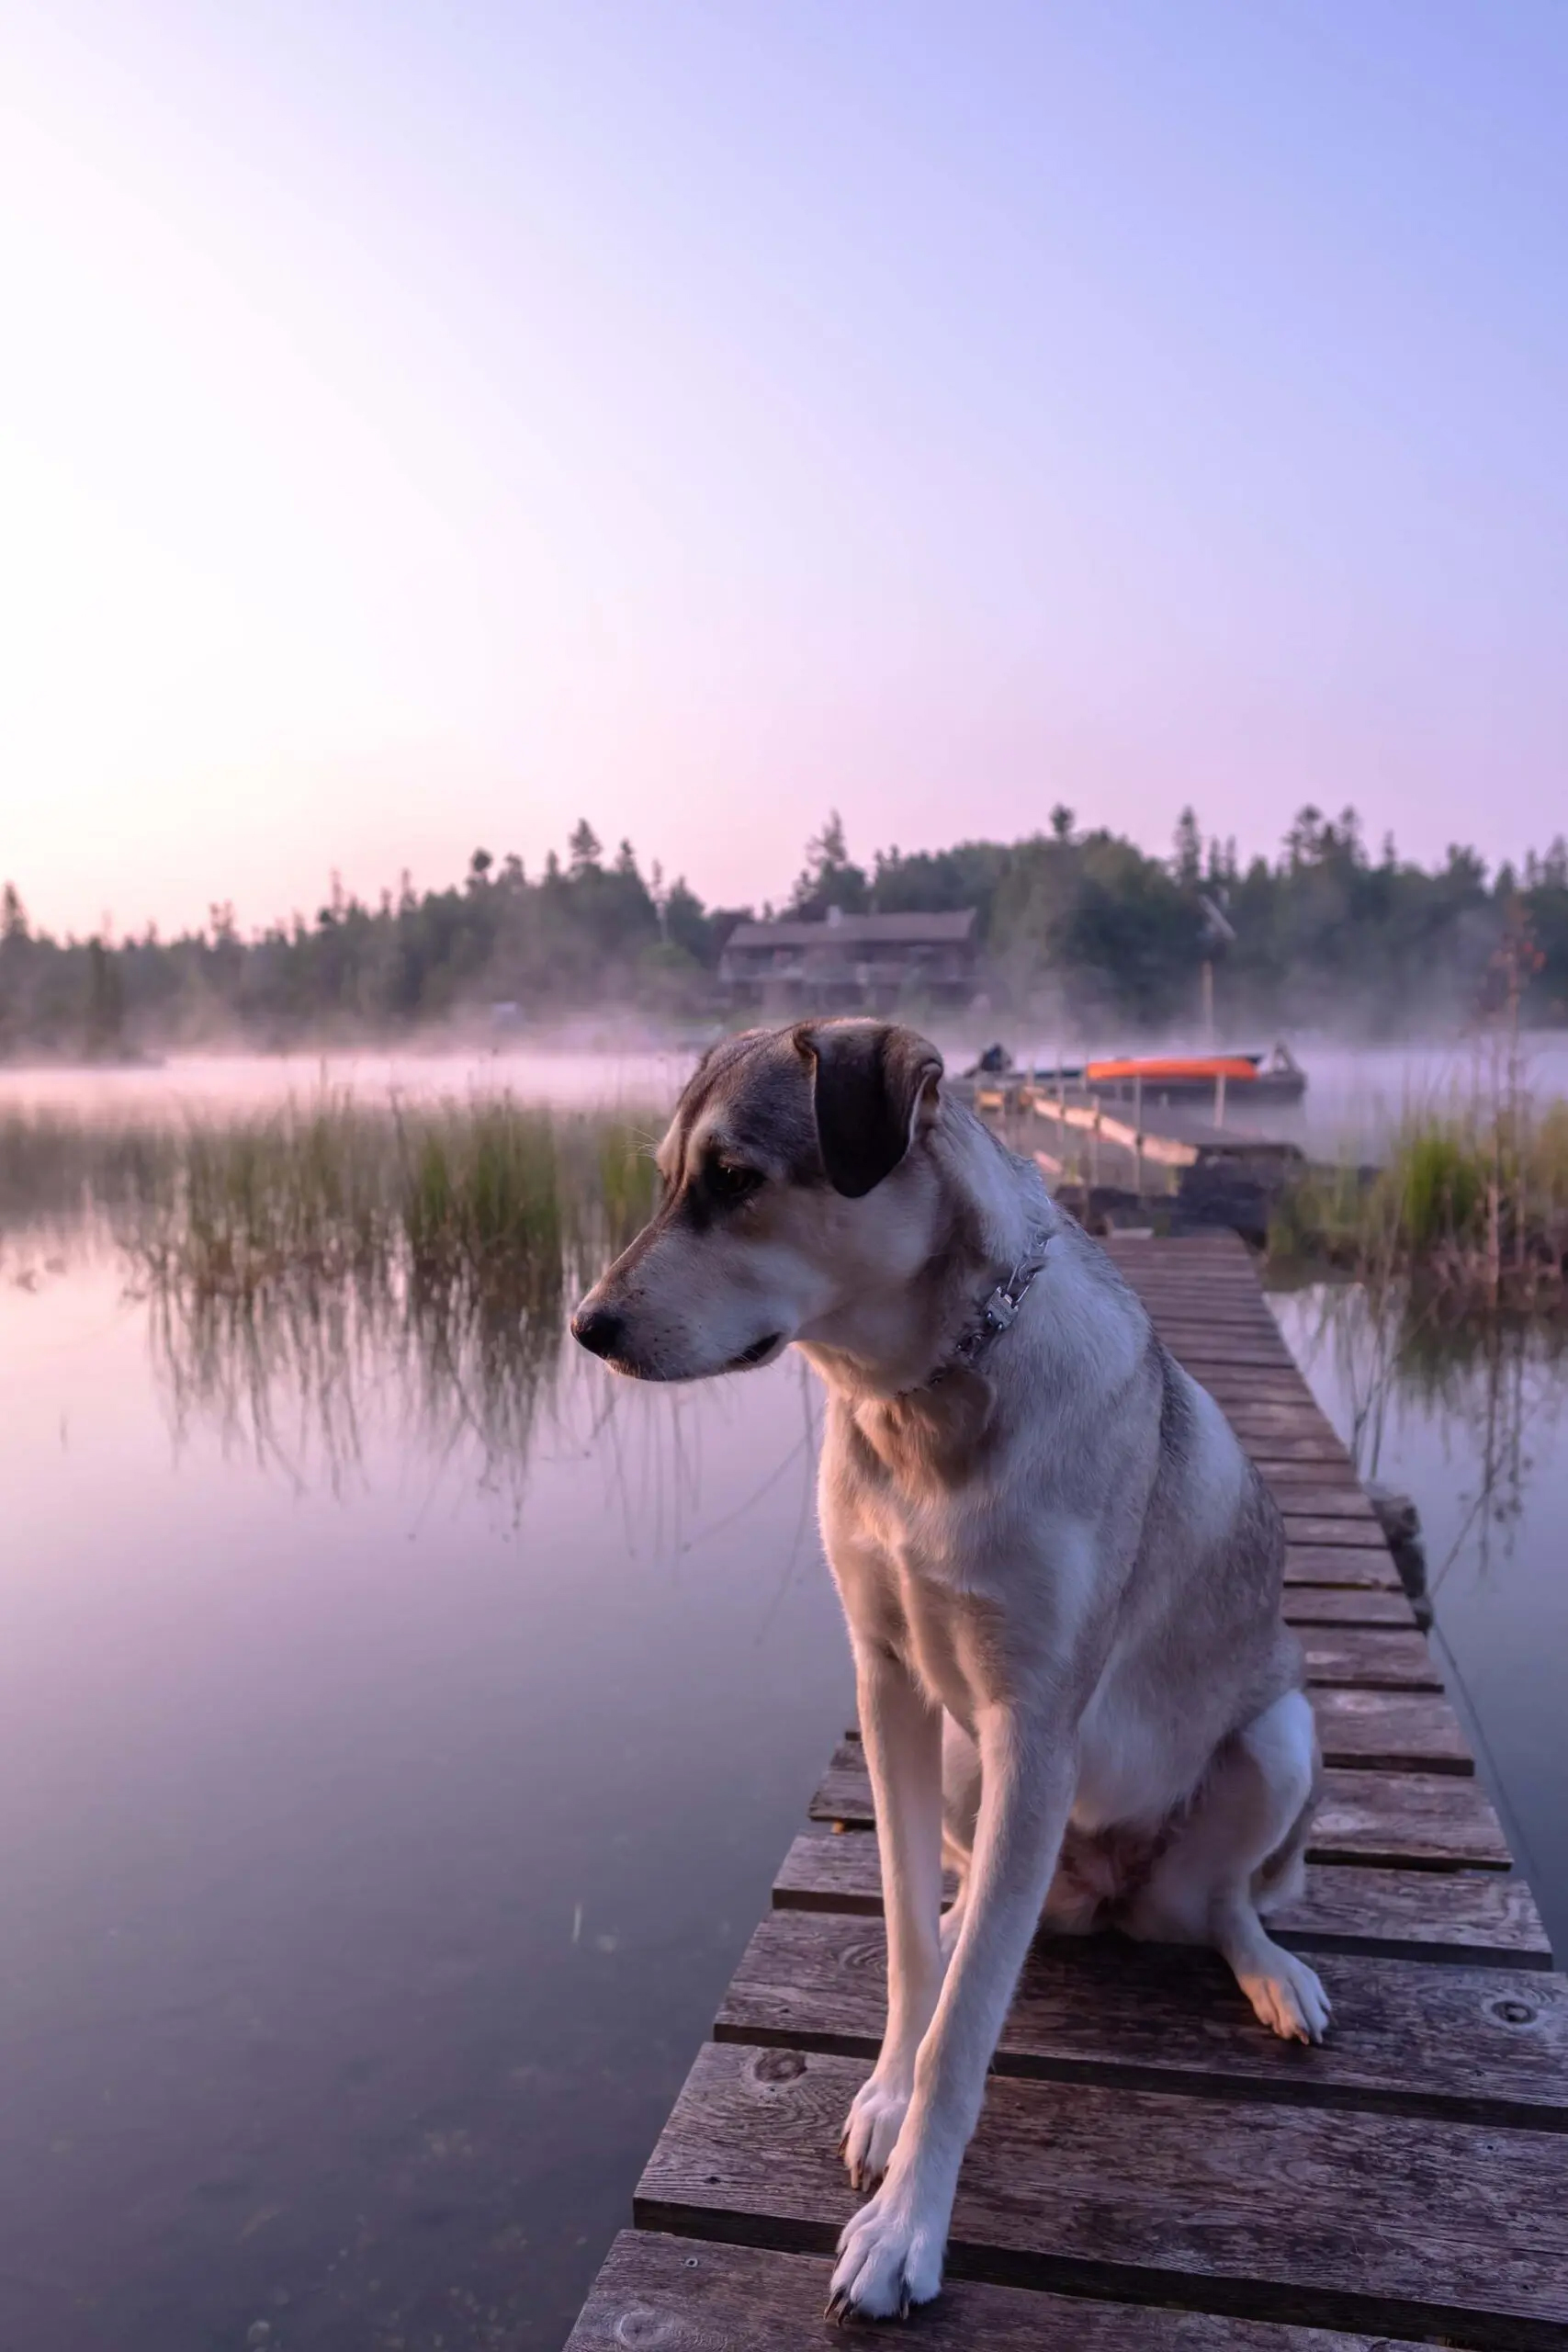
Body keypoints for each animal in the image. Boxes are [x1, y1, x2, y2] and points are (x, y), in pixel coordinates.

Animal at [570, 1021, 1335, 2324]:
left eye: (735, 1179)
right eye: (670, 1177)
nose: (587, 1324)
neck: (915, 1406)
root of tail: (1110, 1891)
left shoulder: (1032, 1723)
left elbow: (967, 2019)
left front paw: (906, 2227)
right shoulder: (892, 1687)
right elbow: (913, 1950)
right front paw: (888, 2086)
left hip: (1276, 1739)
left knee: (1223, 1901)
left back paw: (1268, 1967)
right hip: (977, 1776)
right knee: (979, 1896)